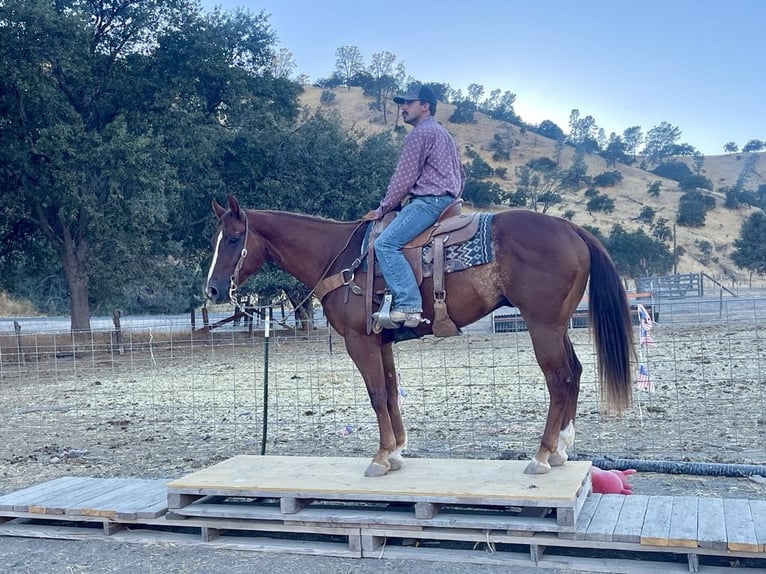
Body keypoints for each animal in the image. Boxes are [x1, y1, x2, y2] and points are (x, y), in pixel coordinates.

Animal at [205, 194, 634, 478]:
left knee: (559, 379)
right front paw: (396, 452)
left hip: (542, 325)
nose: (212, 290)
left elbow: (377, 395)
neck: (341, 257)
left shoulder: (359, 341)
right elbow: (392, 393)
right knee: (575, 373)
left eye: (233, 239)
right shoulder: (381, 342)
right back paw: (563, 449)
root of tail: (571, 228)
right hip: (558, 325)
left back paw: (542, 455)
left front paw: (380, 458)